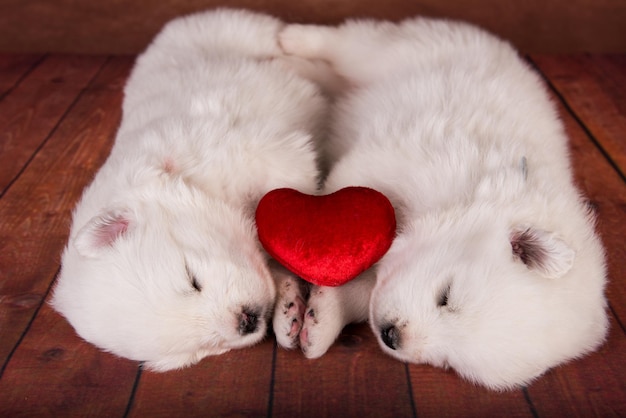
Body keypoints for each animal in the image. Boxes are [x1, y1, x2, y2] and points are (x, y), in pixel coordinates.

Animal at [51, 8, 330, 370]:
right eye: (201, 349)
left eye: (191, 280)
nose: (246, 321)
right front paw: (288, 314)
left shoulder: (261, 152)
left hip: (243, 29)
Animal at [276, 16, 608, 388]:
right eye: (446, 296)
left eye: (451, 363)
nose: (391, 337)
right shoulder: (393, 161)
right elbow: (343, 206)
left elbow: (362, 288)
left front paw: (322, 321)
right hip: (401, 50)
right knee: (349, 42)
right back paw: (291, 44)